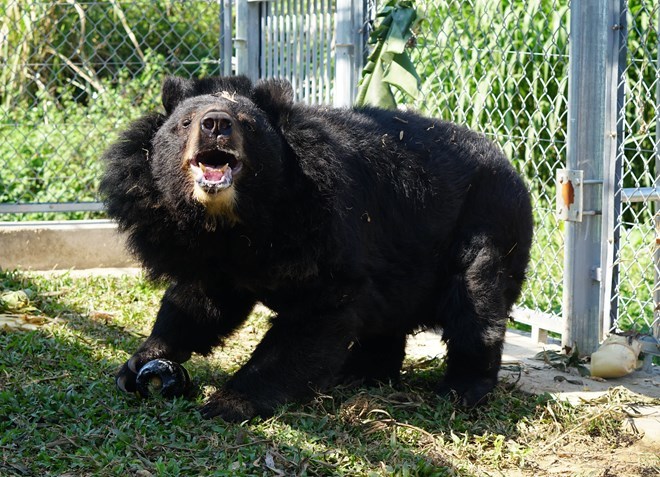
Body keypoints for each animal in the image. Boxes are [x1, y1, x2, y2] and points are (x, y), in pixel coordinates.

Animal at [103, 74, 536, 420]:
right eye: (186, 122)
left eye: (247, 124)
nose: (216, 124)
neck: (235, 221)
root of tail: (512, 167)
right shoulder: (211, 254)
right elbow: (198, 303)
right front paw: (138, 365)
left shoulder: (321, 229)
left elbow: (316, 315)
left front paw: (228, 402)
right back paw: (362, 372)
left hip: (488, 218)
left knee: (476, 301)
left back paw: (461, 391)